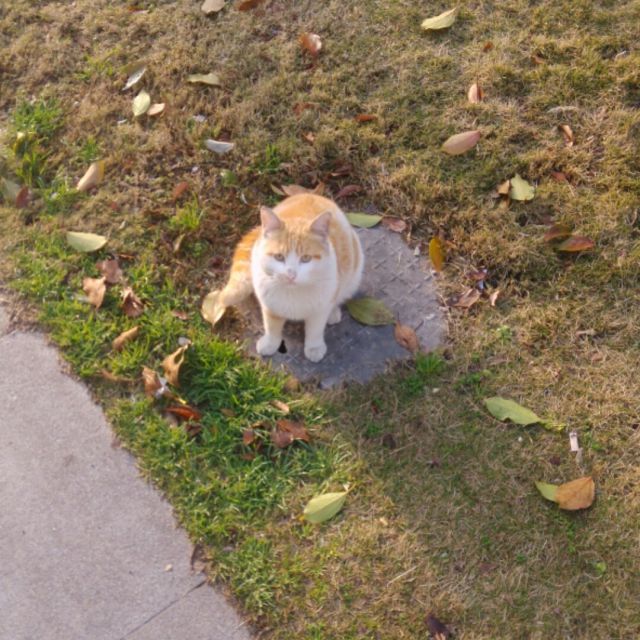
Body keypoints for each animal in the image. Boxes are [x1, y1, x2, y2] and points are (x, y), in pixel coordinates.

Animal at [210, 193, 364, 362]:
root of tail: (310, 193)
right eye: (279, 257)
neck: (292, 293)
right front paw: (270, 343)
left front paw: (314, 347)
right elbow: (271, 326)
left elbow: (315, 329)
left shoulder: (320, 309)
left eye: (306, 258)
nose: (291, 274)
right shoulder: (270, 305)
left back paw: (333, 312)